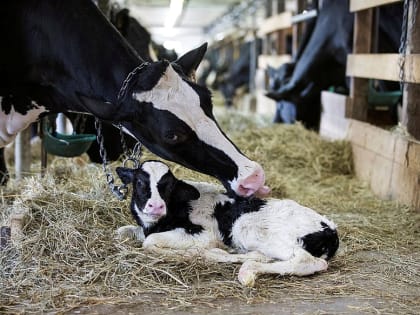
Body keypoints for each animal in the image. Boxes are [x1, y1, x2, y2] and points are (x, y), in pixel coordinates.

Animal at [116, 162, 340, 288]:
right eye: (139, 183)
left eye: (169, 186)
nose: (155, 206)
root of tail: (330, 229)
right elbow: (123, 231)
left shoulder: (204, 234)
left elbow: (149, 243)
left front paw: (199, 253)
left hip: (248, 227)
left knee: (307, 261)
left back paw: (247, 270)